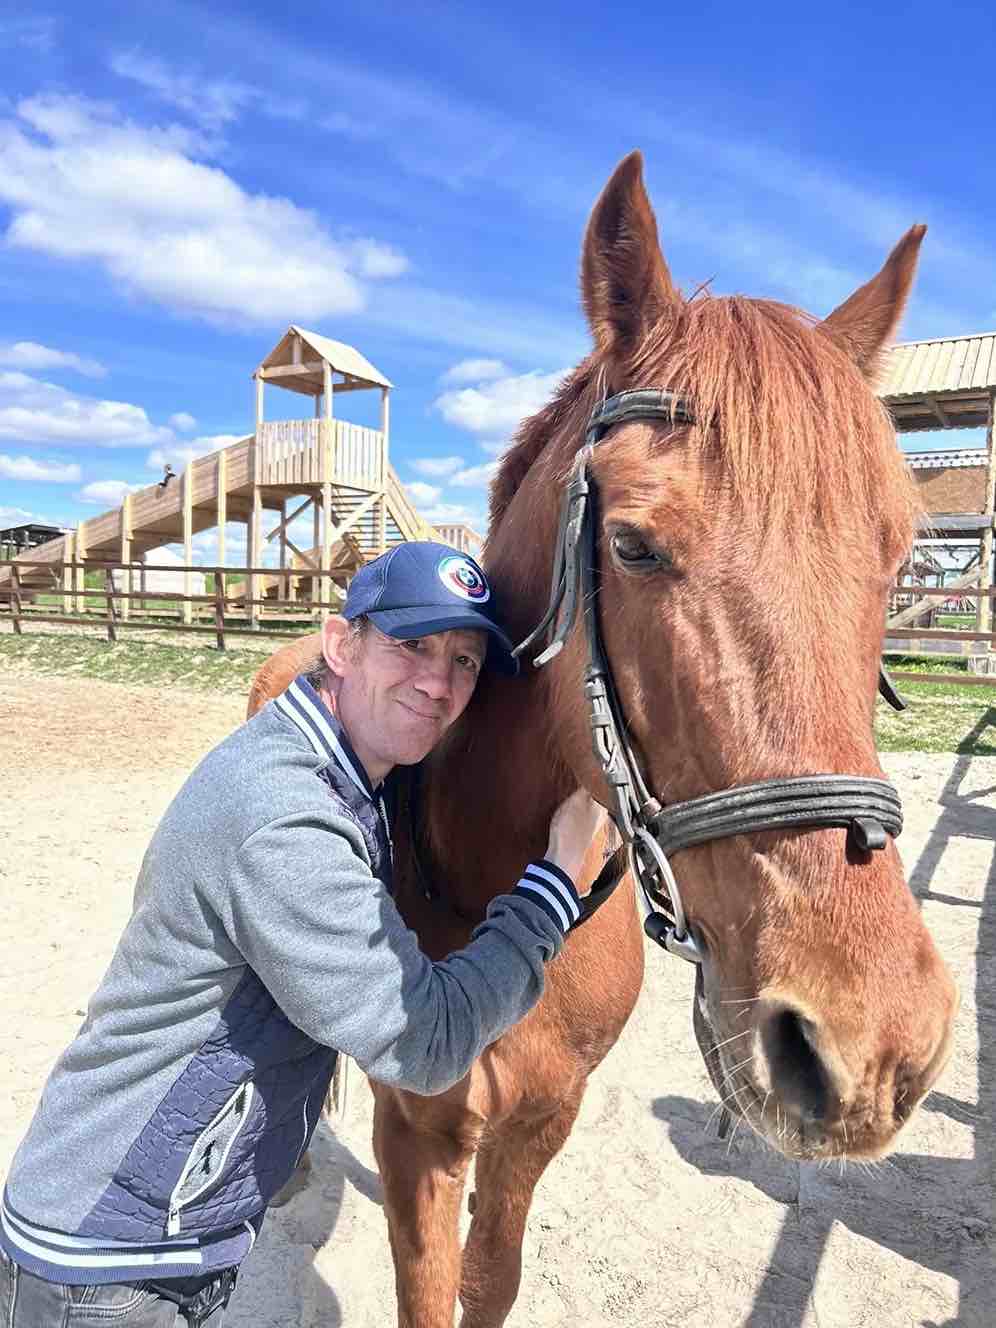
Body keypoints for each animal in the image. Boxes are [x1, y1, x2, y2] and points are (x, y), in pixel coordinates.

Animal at [247, 151, 957, 1328]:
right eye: (631, 544)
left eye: (898, 554)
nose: (870, 1048)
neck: (484, 880)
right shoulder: (419, 1131)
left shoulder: (541, 1120)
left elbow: (491, 1279)